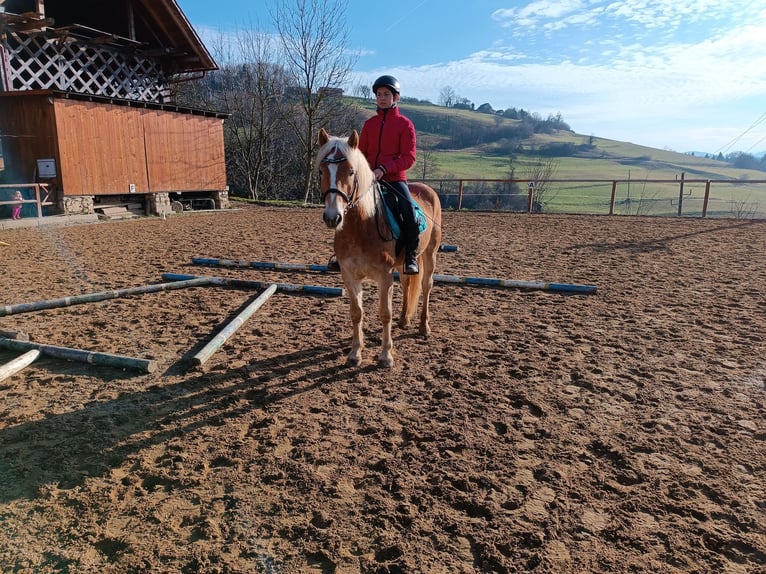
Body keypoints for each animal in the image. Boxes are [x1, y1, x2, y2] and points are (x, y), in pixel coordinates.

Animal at [316, 128, 444, 368]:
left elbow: (385, 313)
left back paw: (424, 327)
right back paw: (404, 320)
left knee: (426, 285)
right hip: (404, 263)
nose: (332, 217)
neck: (361, 226)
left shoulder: (384, 276)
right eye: (321, 171)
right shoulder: (349, 275)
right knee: (407, 283)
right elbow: (356, 313)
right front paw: (355, 353)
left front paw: (386, 356)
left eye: (351, 172)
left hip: (430, 254)